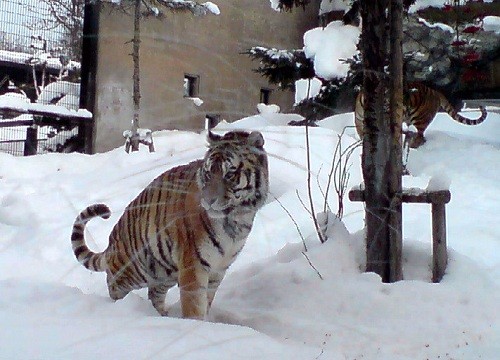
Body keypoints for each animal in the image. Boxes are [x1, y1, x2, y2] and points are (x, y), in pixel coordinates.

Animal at [70, 131, 270, 320]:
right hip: (134, 270)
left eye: (230, 174)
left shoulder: (218, 270)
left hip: (163, 272)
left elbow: (206, 302)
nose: (208, 200)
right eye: (208, 173)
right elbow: (194, 306)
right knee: (114, 286)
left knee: (154, 294)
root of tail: (111, 243)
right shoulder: (194, 266)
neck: (237, 219)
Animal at [356, 81, 488, 148]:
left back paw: (413, 145)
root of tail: (435, 91)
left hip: (420, 119)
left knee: (420, 136)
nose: (390, 107)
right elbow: (361, 133)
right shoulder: (358, 121)